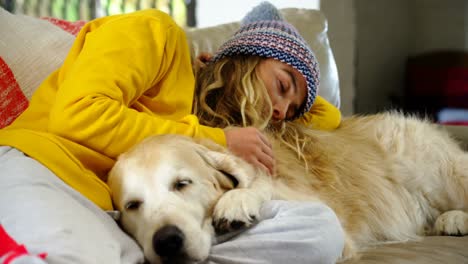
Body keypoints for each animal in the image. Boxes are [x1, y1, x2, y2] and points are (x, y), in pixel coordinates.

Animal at [108, 112, 468, 262]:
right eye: (132, 206)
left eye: (182, 184)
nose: (167, 241)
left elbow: (260, 183)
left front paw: (237, 200)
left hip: (436, 166)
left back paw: (455, 218)